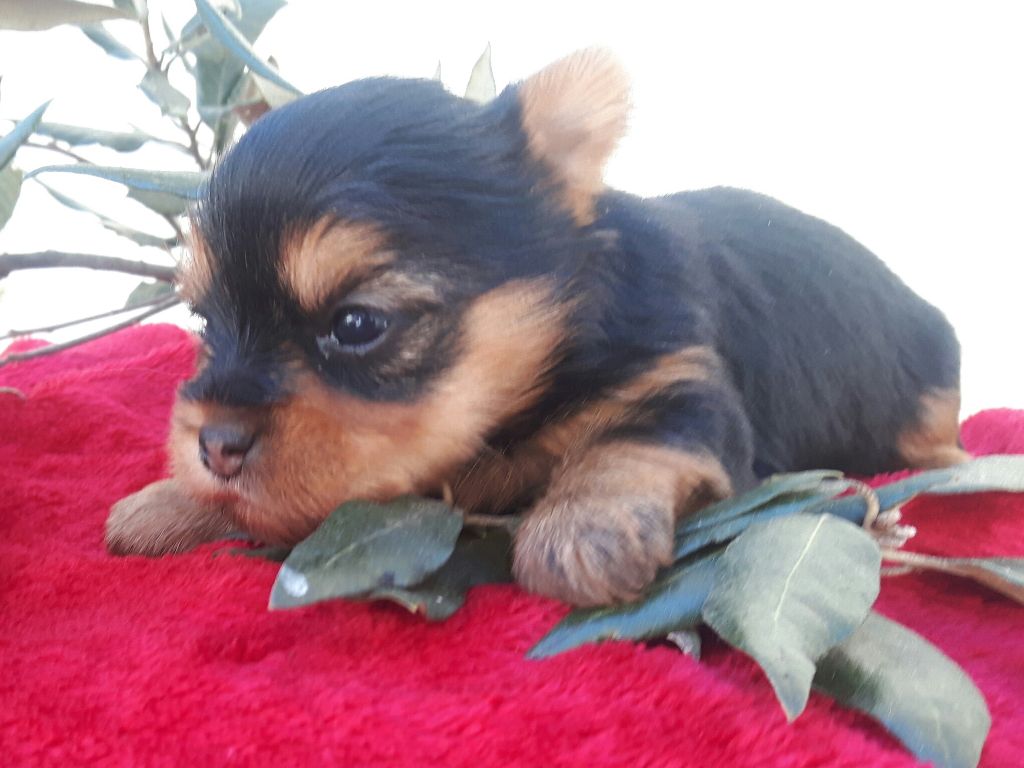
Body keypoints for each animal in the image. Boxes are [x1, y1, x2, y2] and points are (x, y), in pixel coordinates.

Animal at [106, 49, 967, 606]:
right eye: (203, 319)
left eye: (357, 324)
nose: (215, 444)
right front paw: (170, 501)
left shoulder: (686, 384)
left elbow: (627, 441)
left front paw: (582, 529)